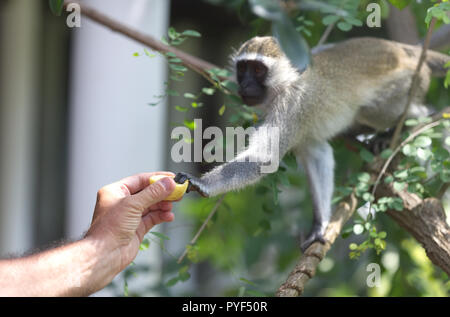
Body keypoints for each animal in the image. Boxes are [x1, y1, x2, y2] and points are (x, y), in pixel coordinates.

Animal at [174, 37, 448, 249]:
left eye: (259, 70)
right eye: (243, 68)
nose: (245, 84)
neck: (285, 83)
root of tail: (404, 50)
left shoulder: (291, 107)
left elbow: (262, 160)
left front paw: (199, 183)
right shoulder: (301, 127)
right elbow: (318, 153)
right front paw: (320, 225)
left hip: (409, 83)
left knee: (379, 110)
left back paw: (416, 118)